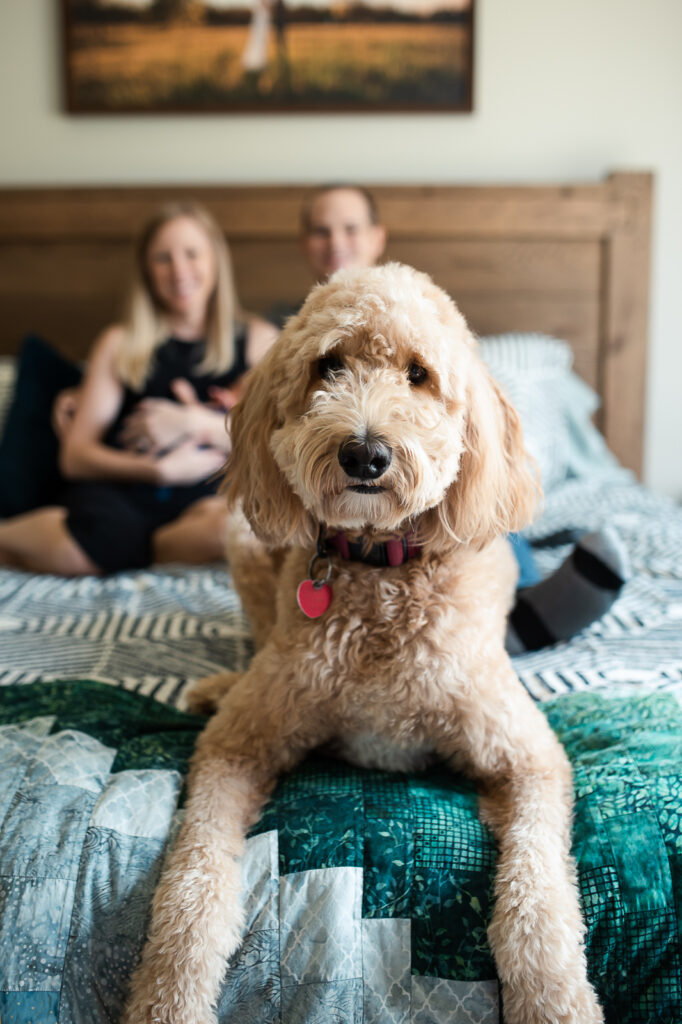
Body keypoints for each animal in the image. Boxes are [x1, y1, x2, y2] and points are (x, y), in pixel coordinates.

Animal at [123, 264, 602, 1024]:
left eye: (419, 374)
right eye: (329, 365)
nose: (365, 453)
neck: (380, 570)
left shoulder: (530, 761)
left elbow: (539, 895)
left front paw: (555, 998)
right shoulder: (234, 748)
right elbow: (191, 881)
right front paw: (167, 996)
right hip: (243, 539)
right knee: (254, 640)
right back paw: (218, 684)